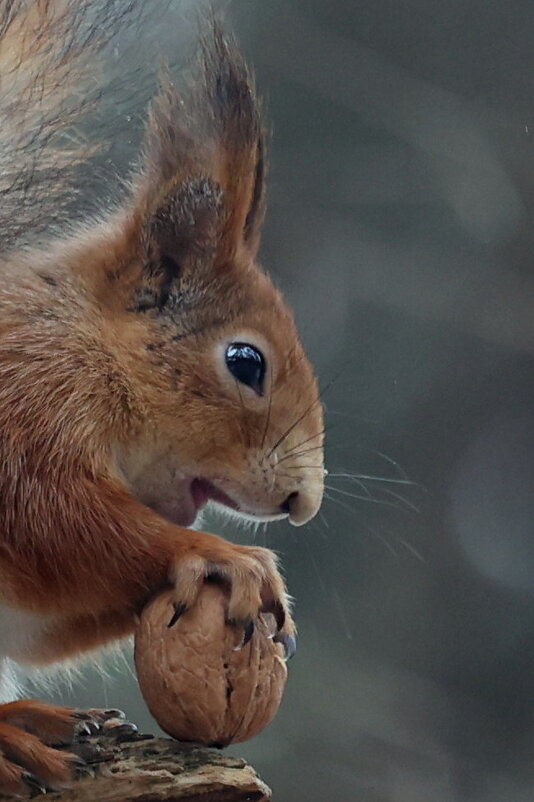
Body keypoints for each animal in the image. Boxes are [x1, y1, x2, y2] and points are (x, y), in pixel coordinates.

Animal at [0, 0, 324, 792]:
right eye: (245, 361)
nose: (304, 502)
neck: (85, 345)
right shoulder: (24, 410)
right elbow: (58, 520)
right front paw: (222, 557)